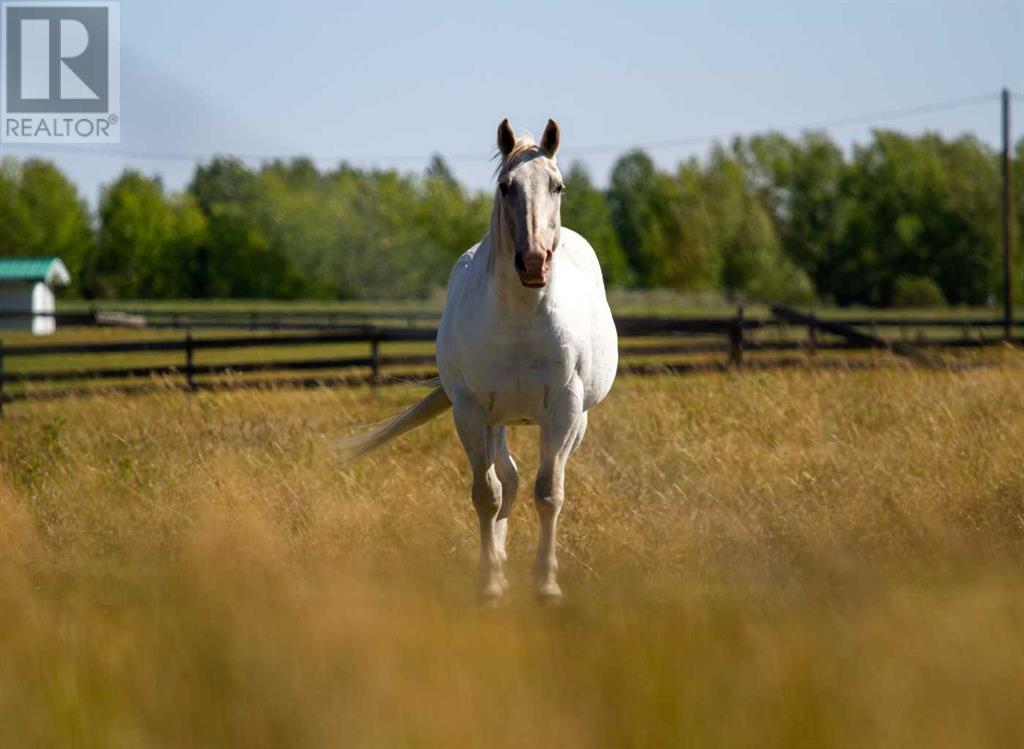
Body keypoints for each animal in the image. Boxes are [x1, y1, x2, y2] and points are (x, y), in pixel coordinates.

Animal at [344, 121, 614, 602]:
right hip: (497, 421)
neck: (522, 319)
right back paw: (500, 561)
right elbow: (487, 494)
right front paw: (489, 582)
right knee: (508, 480)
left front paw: (546, 585)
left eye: (558, 186)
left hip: (573, 422)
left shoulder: (563, 411)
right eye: (506, 187)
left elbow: (549, 493)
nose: (533, 262)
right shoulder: (472, 411)